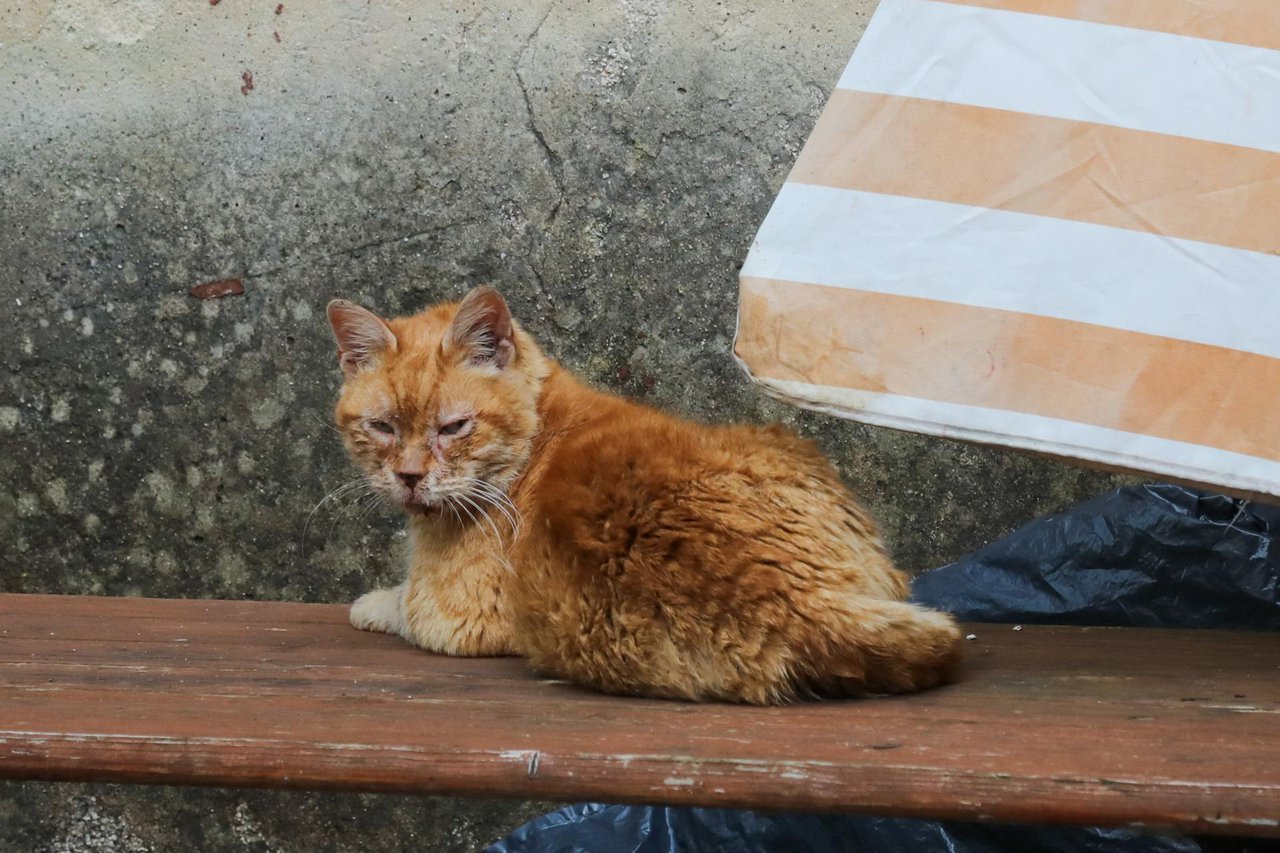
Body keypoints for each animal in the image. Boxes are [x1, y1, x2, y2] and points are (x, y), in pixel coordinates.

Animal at [330, 285, 962, 696]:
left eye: (453, 428)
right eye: (383, 428)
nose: (409, 476)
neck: (534, 436)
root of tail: (796, 601)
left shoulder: (450, 618)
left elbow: (395, 603)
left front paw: (368, 603)